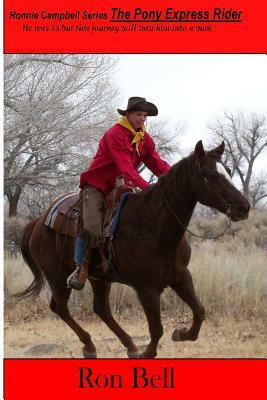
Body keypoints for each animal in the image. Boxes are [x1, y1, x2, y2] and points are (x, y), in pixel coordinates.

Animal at [17, 139, 251, 358]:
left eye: (229, 171)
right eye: (210, 174)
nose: (244, 207)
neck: (153, 226)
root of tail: (37, 222)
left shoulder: (180, 276)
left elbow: (199, 311)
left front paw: (181, 333)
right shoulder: (147, 288)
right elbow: (156, 329)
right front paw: (147, 353)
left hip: (99, 278)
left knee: (101, 309)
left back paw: (129, 345)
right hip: (57, 275)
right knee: (60, 308)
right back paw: (90, 345)